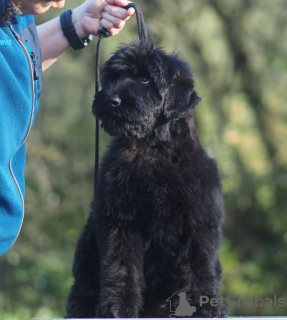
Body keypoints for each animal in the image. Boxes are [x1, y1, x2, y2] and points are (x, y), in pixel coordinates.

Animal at [66, 40, 228, 318]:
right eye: (113, 77)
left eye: (145, 79)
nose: (110, 99)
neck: (153, 149)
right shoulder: (121, 222)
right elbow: (121, 268)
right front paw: (118, 308)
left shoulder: (200, 221)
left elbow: (201, 268)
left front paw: (206, 305)